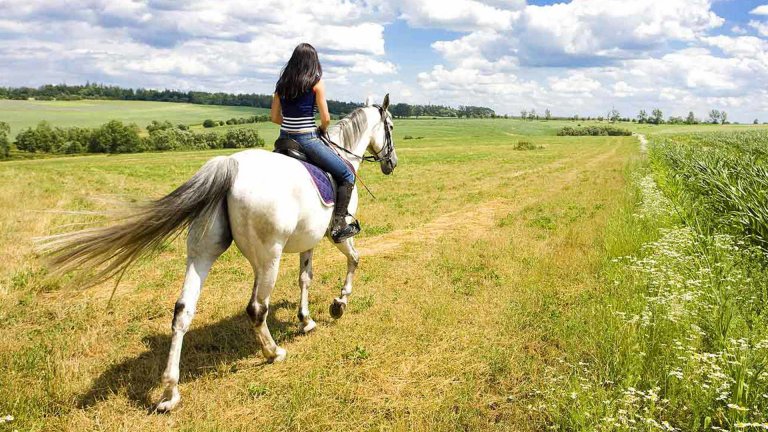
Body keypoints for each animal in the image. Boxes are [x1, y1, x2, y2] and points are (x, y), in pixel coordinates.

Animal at [37, 93, 396, 412]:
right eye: (390, 125)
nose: (391, 164)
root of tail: (231, 166)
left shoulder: (307, 241)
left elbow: (305, 279)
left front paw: (306, 320)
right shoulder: (335, 235)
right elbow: (354, 260)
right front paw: (339, 304)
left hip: (202, 252)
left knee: (182, 311)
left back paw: (170, 393)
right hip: (268, 257)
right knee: (256, 308)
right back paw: (272, 353)